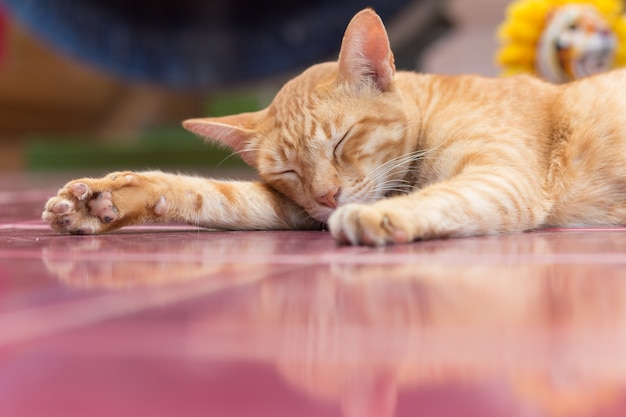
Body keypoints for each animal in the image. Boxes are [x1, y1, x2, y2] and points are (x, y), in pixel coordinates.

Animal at [41, 7, 624, 244]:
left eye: (344, 141)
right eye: (288, 173)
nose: (327, 197)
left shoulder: (503, 179)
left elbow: (442, 197)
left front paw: (380, 218)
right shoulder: (293, 212)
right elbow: (214, 195)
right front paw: (109, 199)